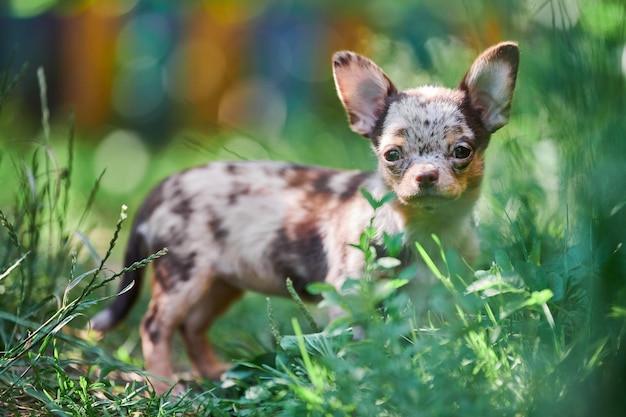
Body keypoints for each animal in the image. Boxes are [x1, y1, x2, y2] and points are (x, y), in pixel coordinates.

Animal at [89, 42, 516, 394]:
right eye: (392, 155)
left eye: (462, 151)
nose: (425, 176)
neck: (425, 229)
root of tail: (161, 188)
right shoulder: (348, 300)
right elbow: (358, 347)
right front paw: (364, 383)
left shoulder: (438, 296)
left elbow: (432, 342)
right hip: (182, 277)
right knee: (155, 327)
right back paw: (166, 388)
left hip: (222, 281)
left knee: (192, 326)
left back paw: (215, 373)